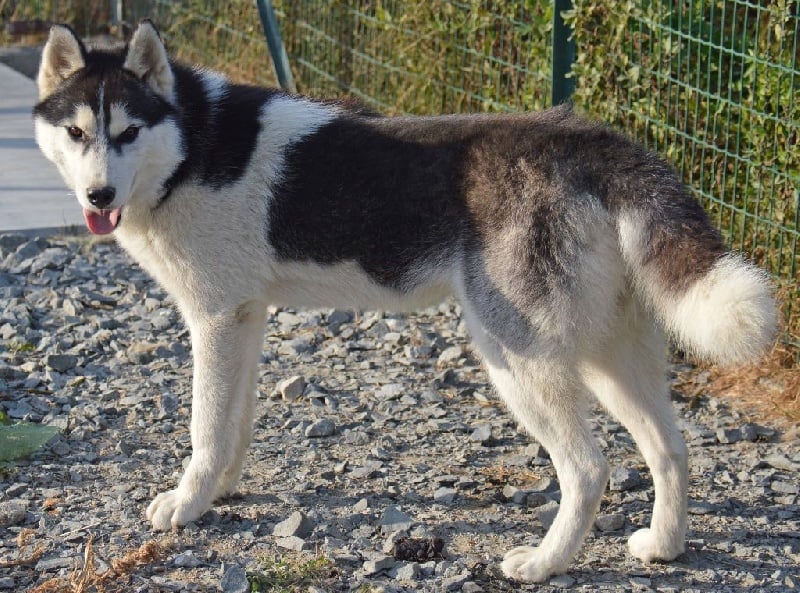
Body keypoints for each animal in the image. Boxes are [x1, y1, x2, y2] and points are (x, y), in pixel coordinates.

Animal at [34, 20, 780, 584]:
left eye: (128, 132)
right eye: (77, 133)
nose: (99, 195)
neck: (193, 144)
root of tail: (587, 139)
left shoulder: (214, 321)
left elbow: (205, 431)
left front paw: (187, 505)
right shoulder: (243, 321)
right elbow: (233, 429)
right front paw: (220, 490)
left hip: (519, 361)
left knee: (590, 468)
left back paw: (545, 562)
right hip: (607, 356)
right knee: (670, 447)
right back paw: (664, 544)